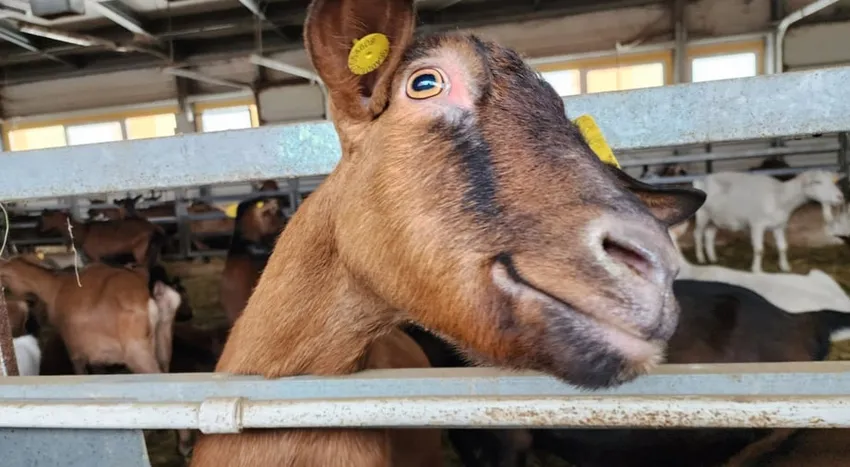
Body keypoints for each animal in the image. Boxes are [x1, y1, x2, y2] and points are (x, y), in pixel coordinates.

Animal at [38, 209, 166, 270]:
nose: (39, 229)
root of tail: (153, 227)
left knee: (142, 263)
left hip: (139, 249)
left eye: (43, 219)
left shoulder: (95, 257)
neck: (85, 232)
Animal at [692, 170, 845, 273]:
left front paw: (785, 267)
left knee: (709, 235)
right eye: (817, 182)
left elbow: (783, 247)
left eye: (833, 182)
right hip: (702, 215)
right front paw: (756, 270)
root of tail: (701, 180)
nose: (840, 197)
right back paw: (700, 258)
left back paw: (713, 258)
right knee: (698, 234)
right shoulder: (757, 225)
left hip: (715, 218)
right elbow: (759, 249)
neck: (780, 197)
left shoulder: (779, 226)